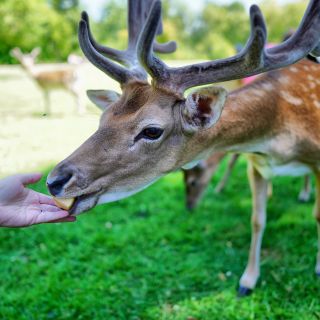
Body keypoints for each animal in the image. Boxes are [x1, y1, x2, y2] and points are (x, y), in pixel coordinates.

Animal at [46, 0, 320, 298]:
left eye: (151, 130)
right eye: (103, 117)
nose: (54, 181)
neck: (276, 132)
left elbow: (316, 214)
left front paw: (316, 269)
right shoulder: (255, 163)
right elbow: (257, 219)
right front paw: (247, 281)